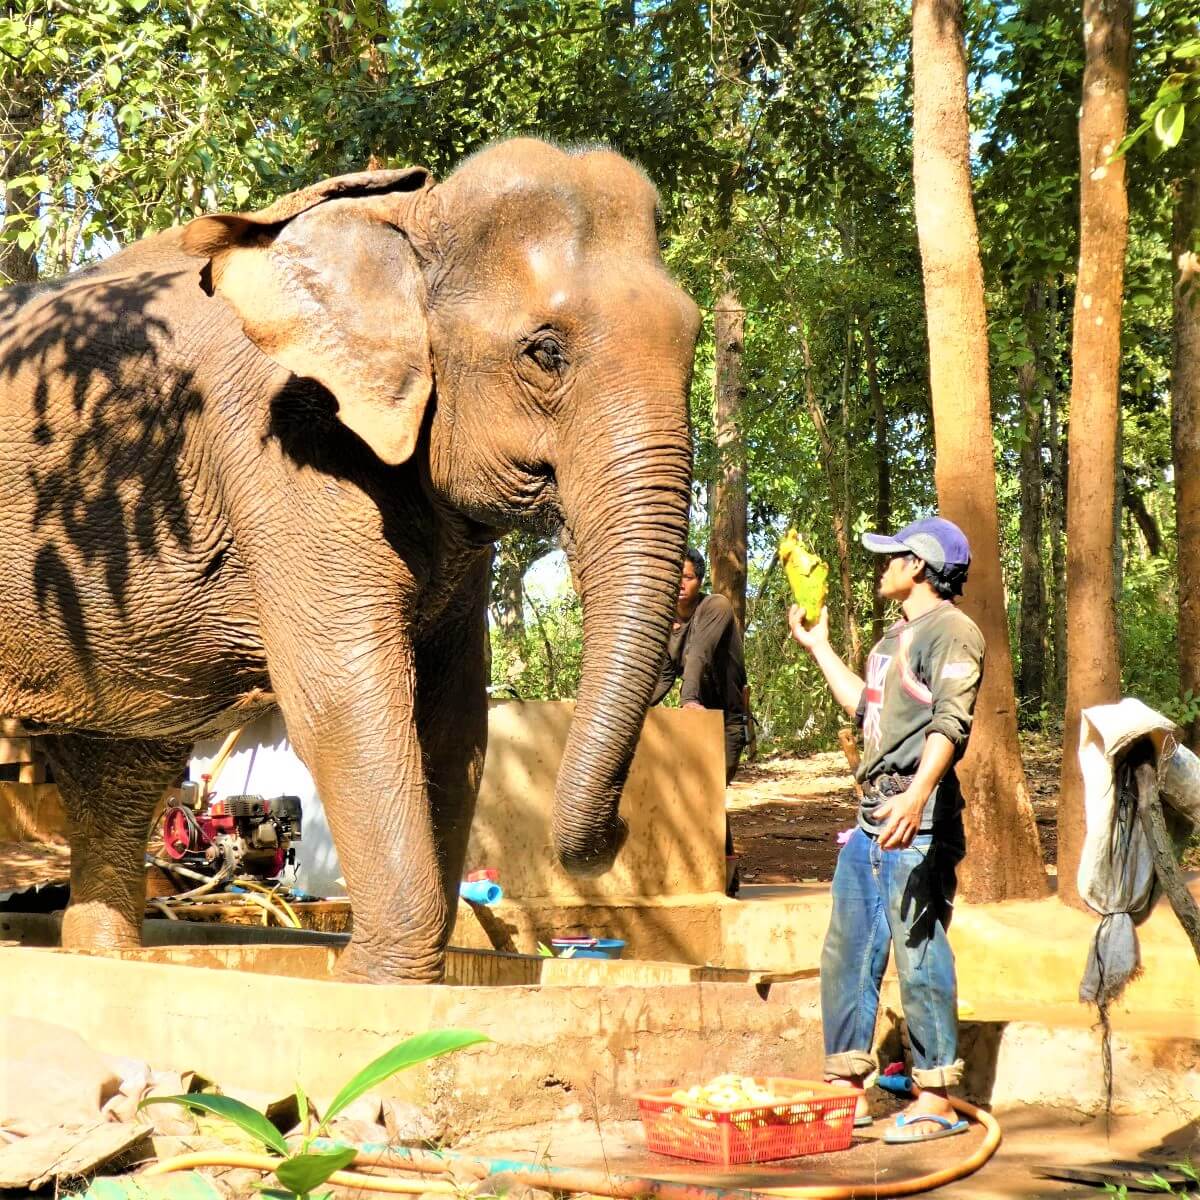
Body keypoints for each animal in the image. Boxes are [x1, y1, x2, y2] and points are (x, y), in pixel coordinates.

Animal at [0, 139, 699, 982]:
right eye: (546, 351)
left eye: (698, 342)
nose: (618, 834)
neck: (410, 219)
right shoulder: (280, 445)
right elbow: (344, 694)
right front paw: (374, 983)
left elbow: (453, 720)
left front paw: (387, 976)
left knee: (122, 761)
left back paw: (106, 958)